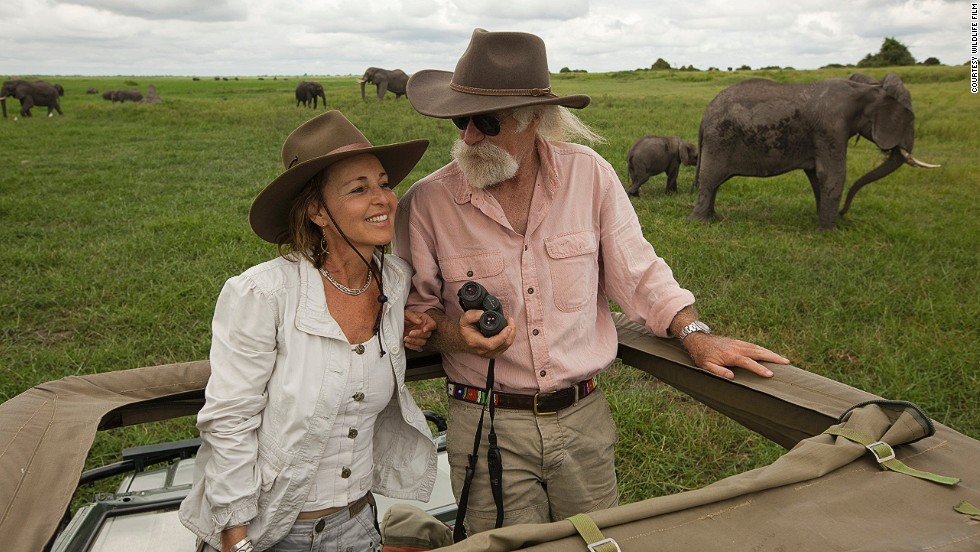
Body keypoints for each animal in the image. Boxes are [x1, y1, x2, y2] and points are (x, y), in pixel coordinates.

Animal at [688, 73, 936, 229]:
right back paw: (700, 222)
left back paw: (714, 218)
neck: (868, 87)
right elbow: (833, 174)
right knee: (710, 180)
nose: (844, 213)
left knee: (715, 183)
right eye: (910, 119)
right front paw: (830, 232)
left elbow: (818, 176)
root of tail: (705, 114)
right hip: (720, 138)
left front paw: (824, 222)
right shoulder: (831, 127)